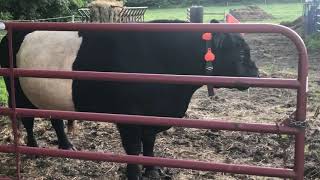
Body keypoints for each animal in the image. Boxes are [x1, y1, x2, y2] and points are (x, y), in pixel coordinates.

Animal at [0, 19, 258, 179]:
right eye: (241, 53)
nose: (256, 74)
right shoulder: (128, 116)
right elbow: (133, 148)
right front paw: (134, 174)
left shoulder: (153, 115)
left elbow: (149, 143)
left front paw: (153, 170)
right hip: (17, 93)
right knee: (27, 121)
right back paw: (33, 149)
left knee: (55, 118)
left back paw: (66, 145)